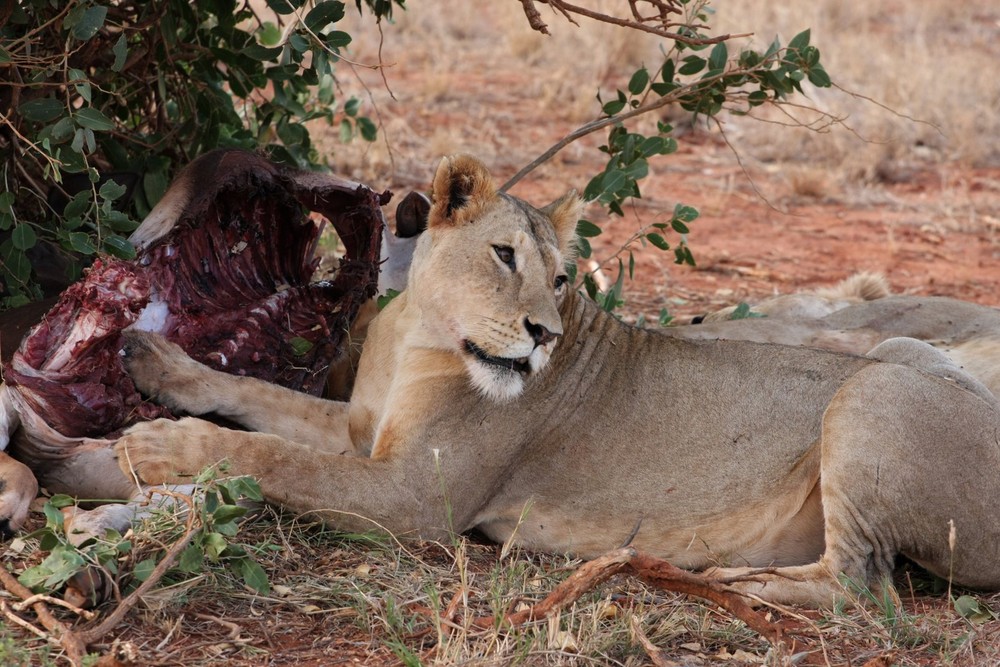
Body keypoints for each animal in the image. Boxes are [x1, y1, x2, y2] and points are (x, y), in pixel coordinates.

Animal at [95, 155, 1000, 604]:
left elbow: (269, 456)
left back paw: (731, 579)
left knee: (863, 586)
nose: (543, 334)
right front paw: (155, 362)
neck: (420, 330)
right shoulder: (362, 429)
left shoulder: (413, 502)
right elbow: (265, 398)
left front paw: (160, 445)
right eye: (505, 255)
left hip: (874, 390)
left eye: (562, 278)